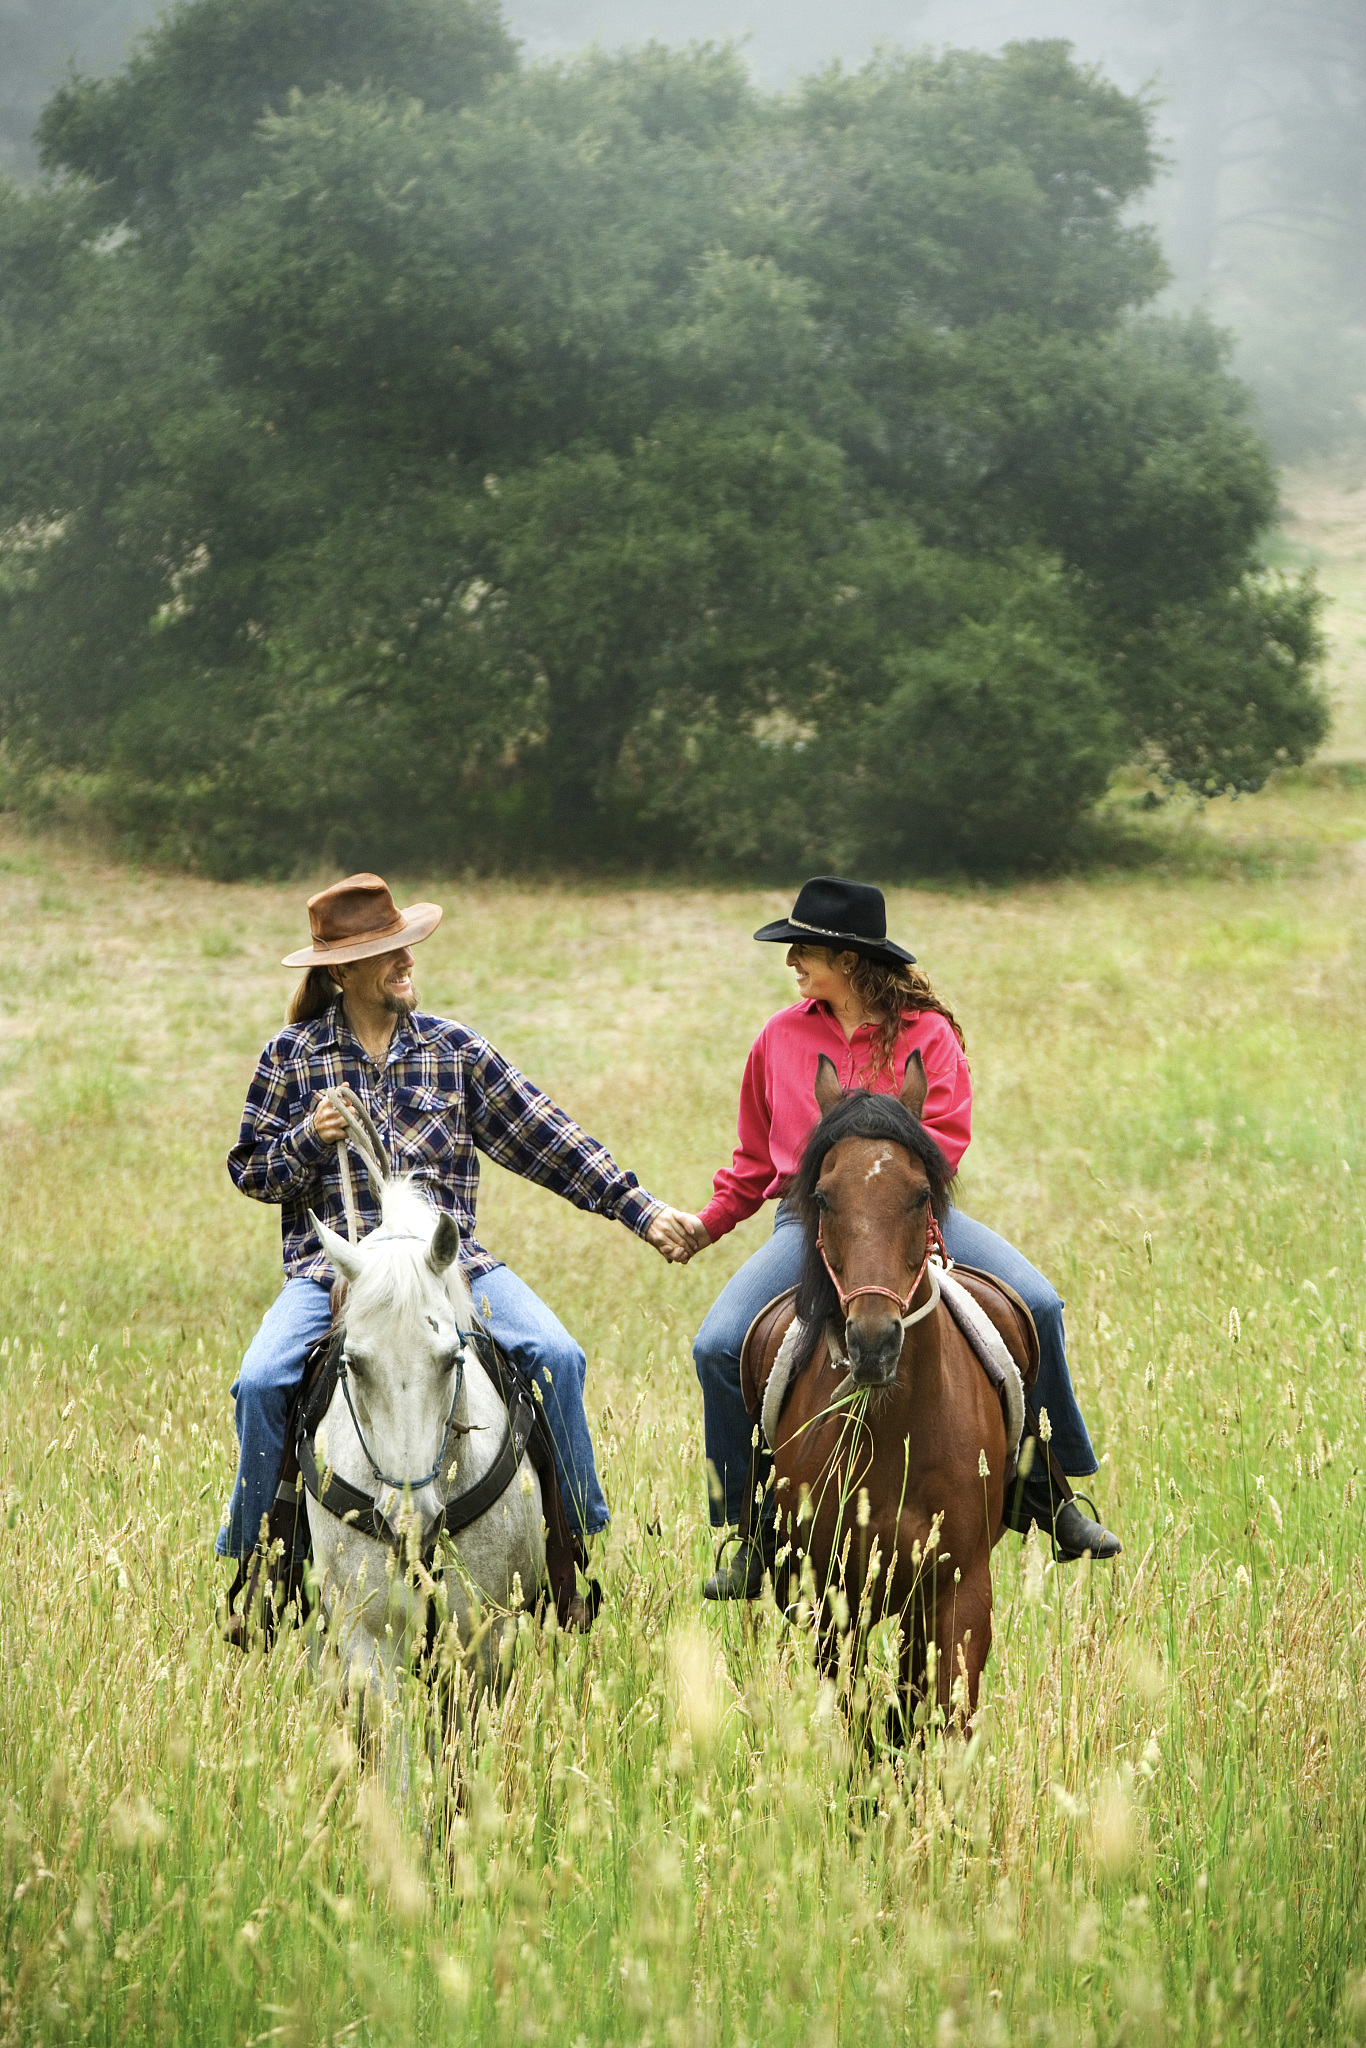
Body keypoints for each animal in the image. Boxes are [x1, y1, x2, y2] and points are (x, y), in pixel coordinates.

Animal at [741, 1064, 1032, 1736]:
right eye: (824, 1197)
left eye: (921, 1193)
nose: (873, 1342)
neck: (899, 1433)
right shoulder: (836, 1597)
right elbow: (855, 1725)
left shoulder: (960, 1592)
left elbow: (945, 1721)